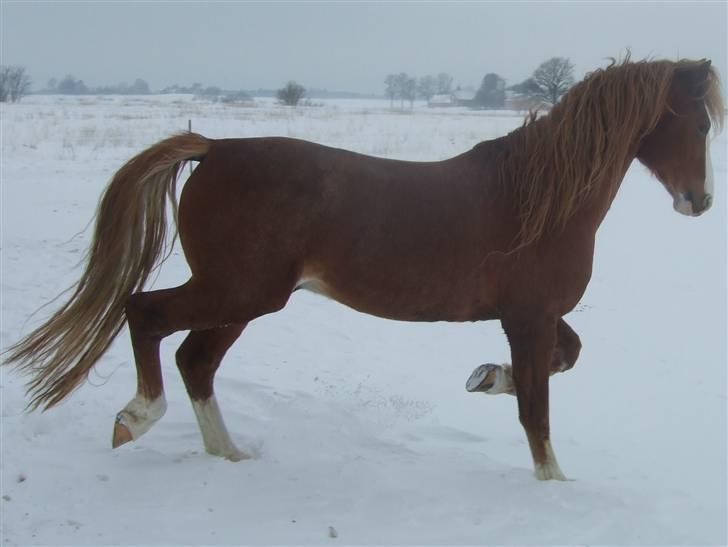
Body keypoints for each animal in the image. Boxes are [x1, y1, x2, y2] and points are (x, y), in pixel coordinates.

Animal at [4, 58, 724, 480]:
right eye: (697, 121)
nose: (700, 201)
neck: (539, 198)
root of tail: (215, 147)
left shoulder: (534, 316)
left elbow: (565, 358)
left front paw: (485, 376)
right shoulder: (529, 316)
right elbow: (538, 412)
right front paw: (554, 485)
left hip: (243, 298)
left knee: (195, 361)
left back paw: (228, 456)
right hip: (239, 290)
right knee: (145, 314)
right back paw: (137, 417)